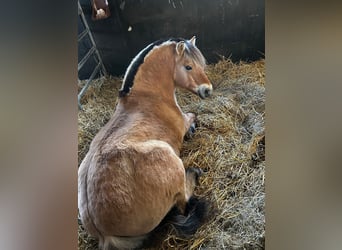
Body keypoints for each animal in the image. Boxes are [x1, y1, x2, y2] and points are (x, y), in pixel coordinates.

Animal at [79, 36, 214, 249]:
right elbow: (193, 115)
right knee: (183, 201)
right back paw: (194, 173)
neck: (147, 97)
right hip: (169, 157)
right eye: (188, 66)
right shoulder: (184, 121)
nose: (207, 90)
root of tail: (105, 235)